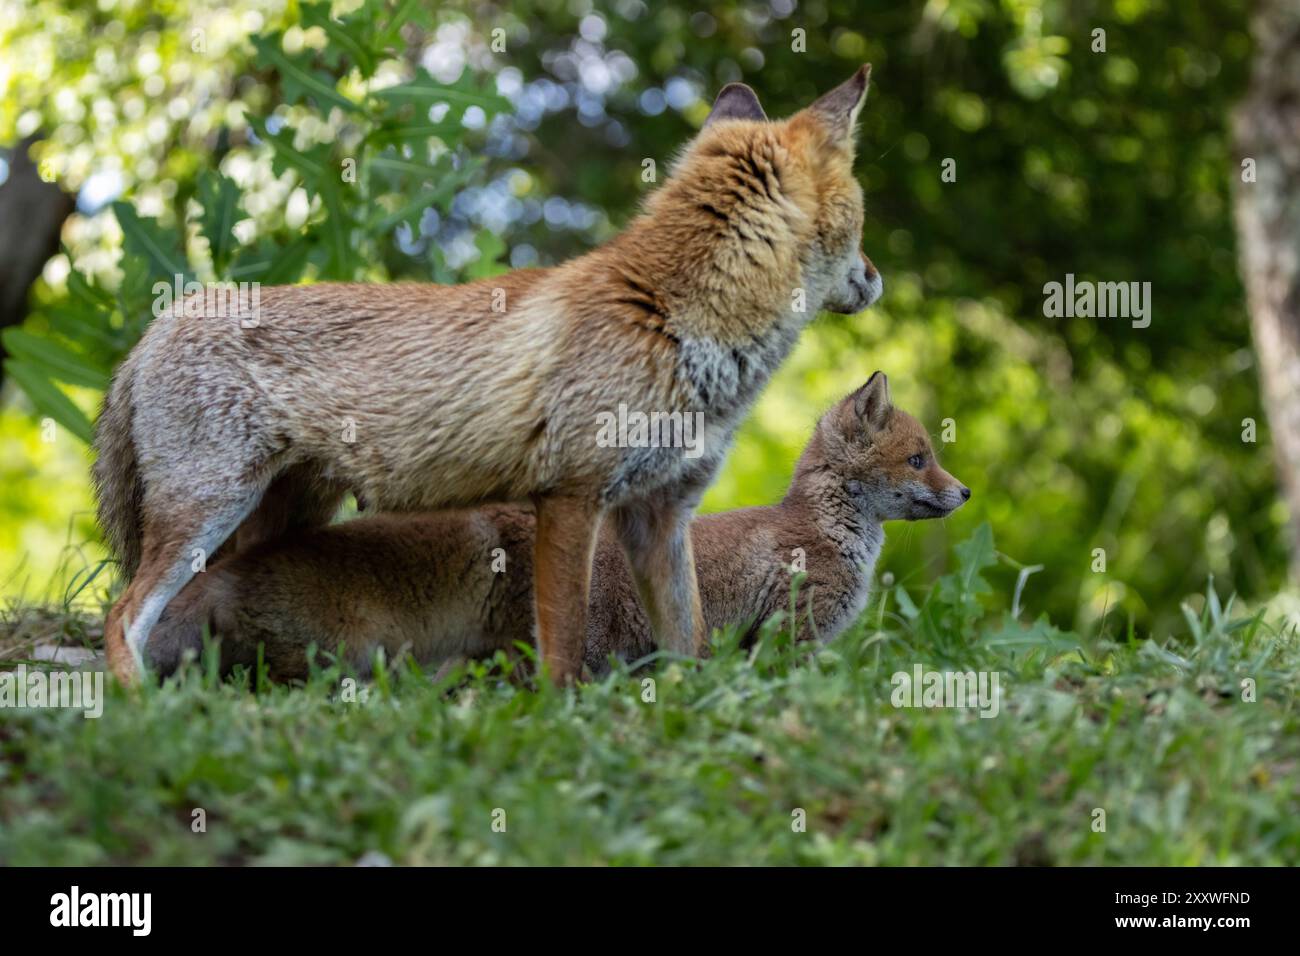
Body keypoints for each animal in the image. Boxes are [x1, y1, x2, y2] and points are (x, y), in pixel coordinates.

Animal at [93, 66, 884, 686]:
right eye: (862, 217)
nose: (876, 276)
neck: (668, 318)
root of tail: (163, 320)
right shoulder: (570, 497)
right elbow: (564, 647)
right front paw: (563, 725)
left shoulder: (660, 514)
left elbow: (685, 647)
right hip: (206, 510)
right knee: (121, 615)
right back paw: (140, 712)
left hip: (278, 517)